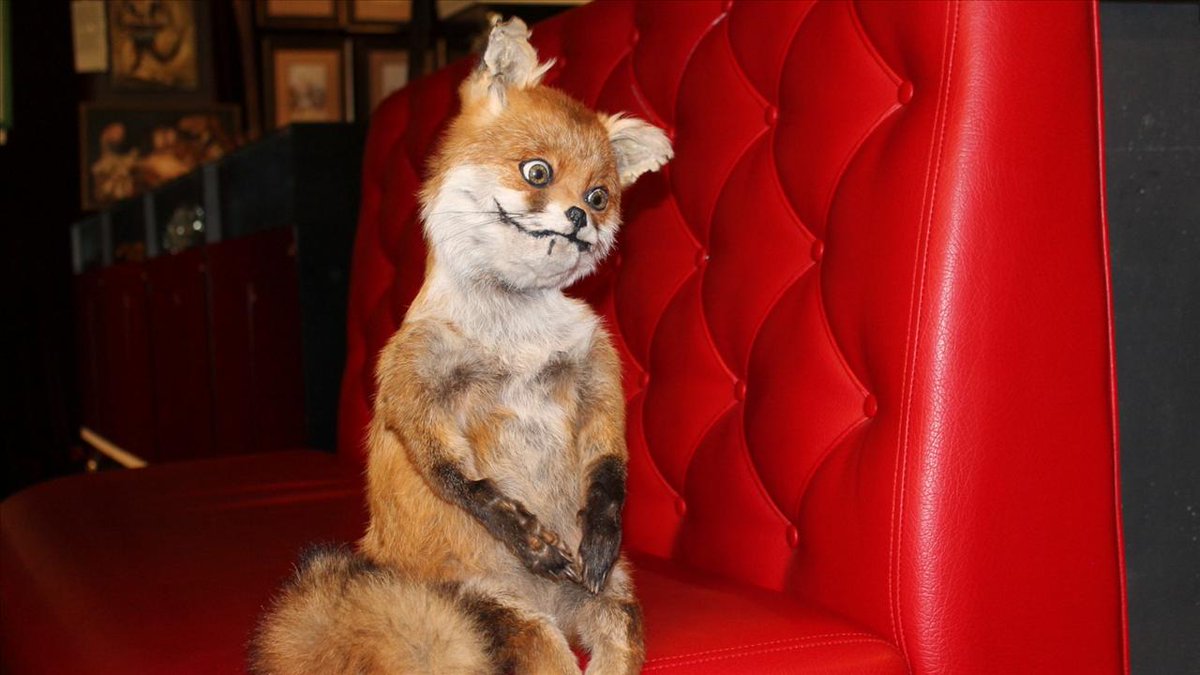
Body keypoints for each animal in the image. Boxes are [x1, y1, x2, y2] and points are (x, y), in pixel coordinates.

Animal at [250, 16, 672, 675]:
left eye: (600, 196)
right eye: (537, 172)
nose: (580, 218)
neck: (515, 344)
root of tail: (556, 609)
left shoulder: (595, 375)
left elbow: (609, 465)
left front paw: (602, 526)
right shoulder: (409, 384)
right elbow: (458, 478)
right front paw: (525, 535)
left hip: (615, 605)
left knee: (613, 650)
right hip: (511, 621)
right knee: (550, 656)